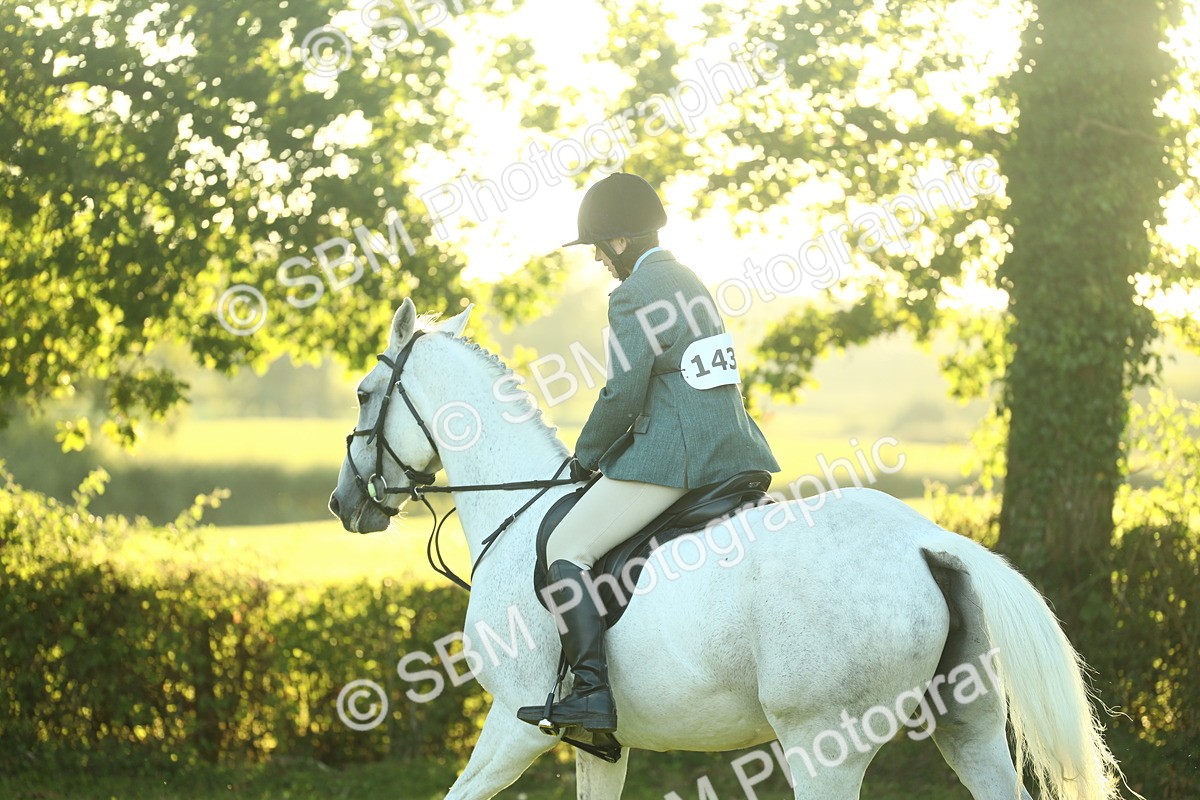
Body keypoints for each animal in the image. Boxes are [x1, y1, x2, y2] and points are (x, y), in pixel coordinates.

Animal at [328, 298, 1121, 800]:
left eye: (365, 393)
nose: (344, 503)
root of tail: (927, 544)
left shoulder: (514, 723)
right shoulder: (603, 744)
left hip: (823, 744)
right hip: (971, 727)